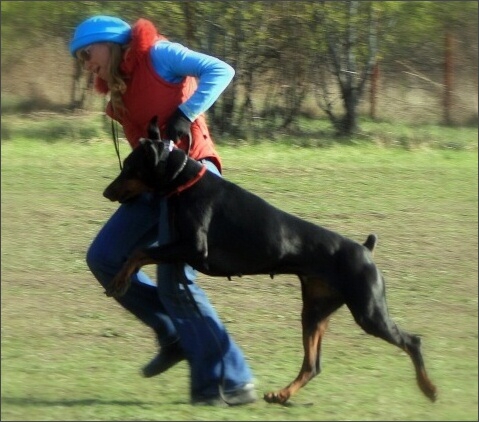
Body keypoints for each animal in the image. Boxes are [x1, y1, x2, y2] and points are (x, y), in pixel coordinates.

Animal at [103, 116, 436, 406]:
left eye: (130, 166)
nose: (106, 191)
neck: (185, 181)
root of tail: (366, 250)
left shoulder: (194, 247)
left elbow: (140, 252)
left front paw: (119, 280)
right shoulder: (180, 246)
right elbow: (142, 253)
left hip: (368, 311)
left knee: (412, 341)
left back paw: (428, 388)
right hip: (315, 311)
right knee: (312, 365)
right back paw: (281, 394)